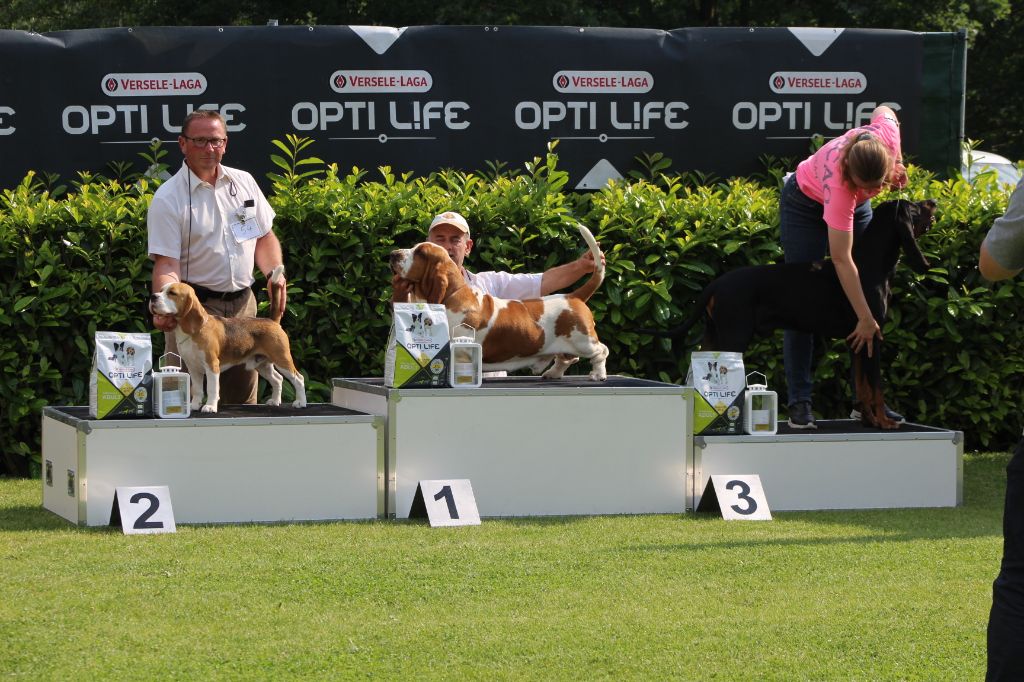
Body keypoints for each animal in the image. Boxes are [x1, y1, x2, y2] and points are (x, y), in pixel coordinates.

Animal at [148, 266, 305, 413]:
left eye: (172, 293)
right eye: (161, 290)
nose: (152, 296)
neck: (193, 332)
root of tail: (272, 321)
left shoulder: (212, 366)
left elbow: (212, 389)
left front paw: (210, 406)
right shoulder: (193, 367)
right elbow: (197, 390)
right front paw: (194, 405)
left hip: (282, 359)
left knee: (299, 379)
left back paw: (300, 402)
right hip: (262, 364)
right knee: (278, 379)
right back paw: (275, 401)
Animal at [643, 199, 937, 428]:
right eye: (914, 206)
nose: (933, 202)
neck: (870, 264)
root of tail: (716, 283)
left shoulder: (858, 339)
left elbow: (863, 386)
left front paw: (870, 420)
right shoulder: (872, 335)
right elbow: (876, 386)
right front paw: (884, 422)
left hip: (714, 336)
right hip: (733, 336)